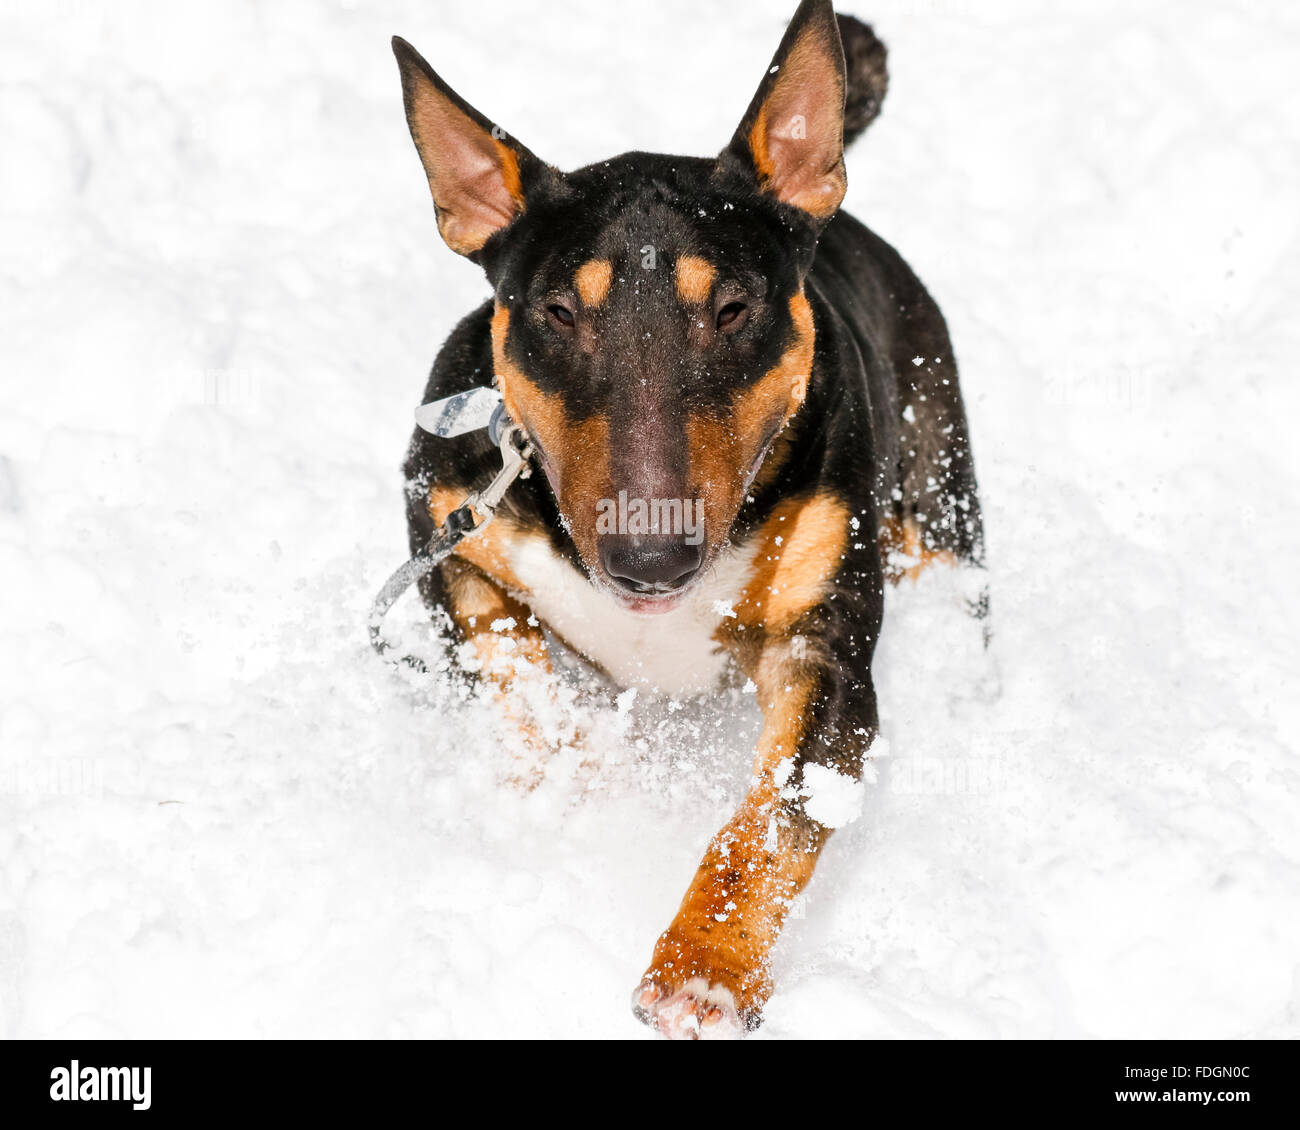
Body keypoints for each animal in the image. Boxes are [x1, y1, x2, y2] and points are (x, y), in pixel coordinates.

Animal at [390, 0, 977, 1040]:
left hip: (940, 482)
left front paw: (702, 974)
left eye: (735, 308)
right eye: (555, 311)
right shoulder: (441, 524)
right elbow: (511, 664)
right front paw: (575, 788)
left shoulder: (826, 654)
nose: (652, 561)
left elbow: (771, 823)